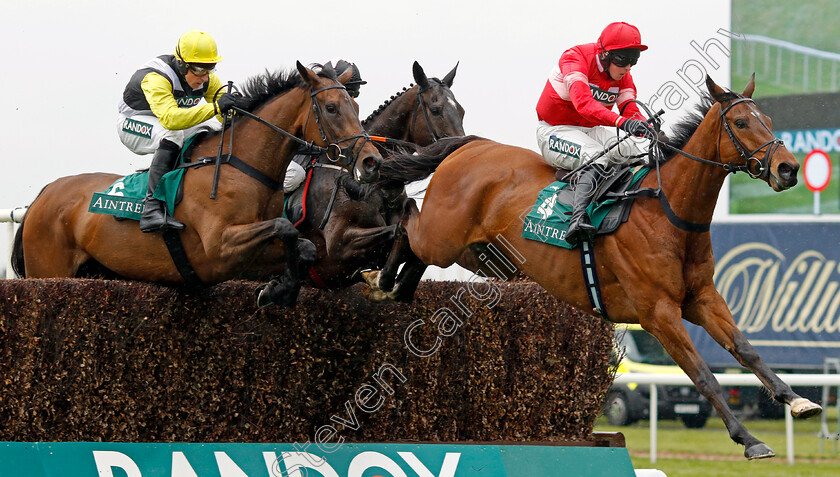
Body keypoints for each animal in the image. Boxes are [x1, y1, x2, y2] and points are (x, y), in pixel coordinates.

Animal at [11, 62, 380, 304]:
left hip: (95, 271)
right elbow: (284, 228)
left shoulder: (245, 258)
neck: (242, 166)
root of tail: (42, 196)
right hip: (48, 271)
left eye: (354, 103)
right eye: (331, 108)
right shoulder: (220, 248)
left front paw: (280, 289)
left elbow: (304, 248)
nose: (371, 160)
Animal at [292, 61, 466, 288]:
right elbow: (397, 231)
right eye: (436, 110)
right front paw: (385, 279)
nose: (462, 153)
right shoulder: (339, 246)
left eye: (461, 111)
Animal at [368, 75, 820, 458]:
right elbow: (703, 375)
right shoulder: (657, 313)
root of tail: (469, 145)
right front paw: (749, 439)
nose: (788, 168)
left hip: (476, 255)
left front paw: (798, 400)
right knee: (407, 220)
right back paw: (380, 280)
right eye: (741, 122)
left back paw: (399, 289)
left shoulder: (703, 299)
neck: (668, 212)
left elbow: (747, 350)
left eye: (768, 121)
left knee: (414, 253)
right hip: (443, 239)